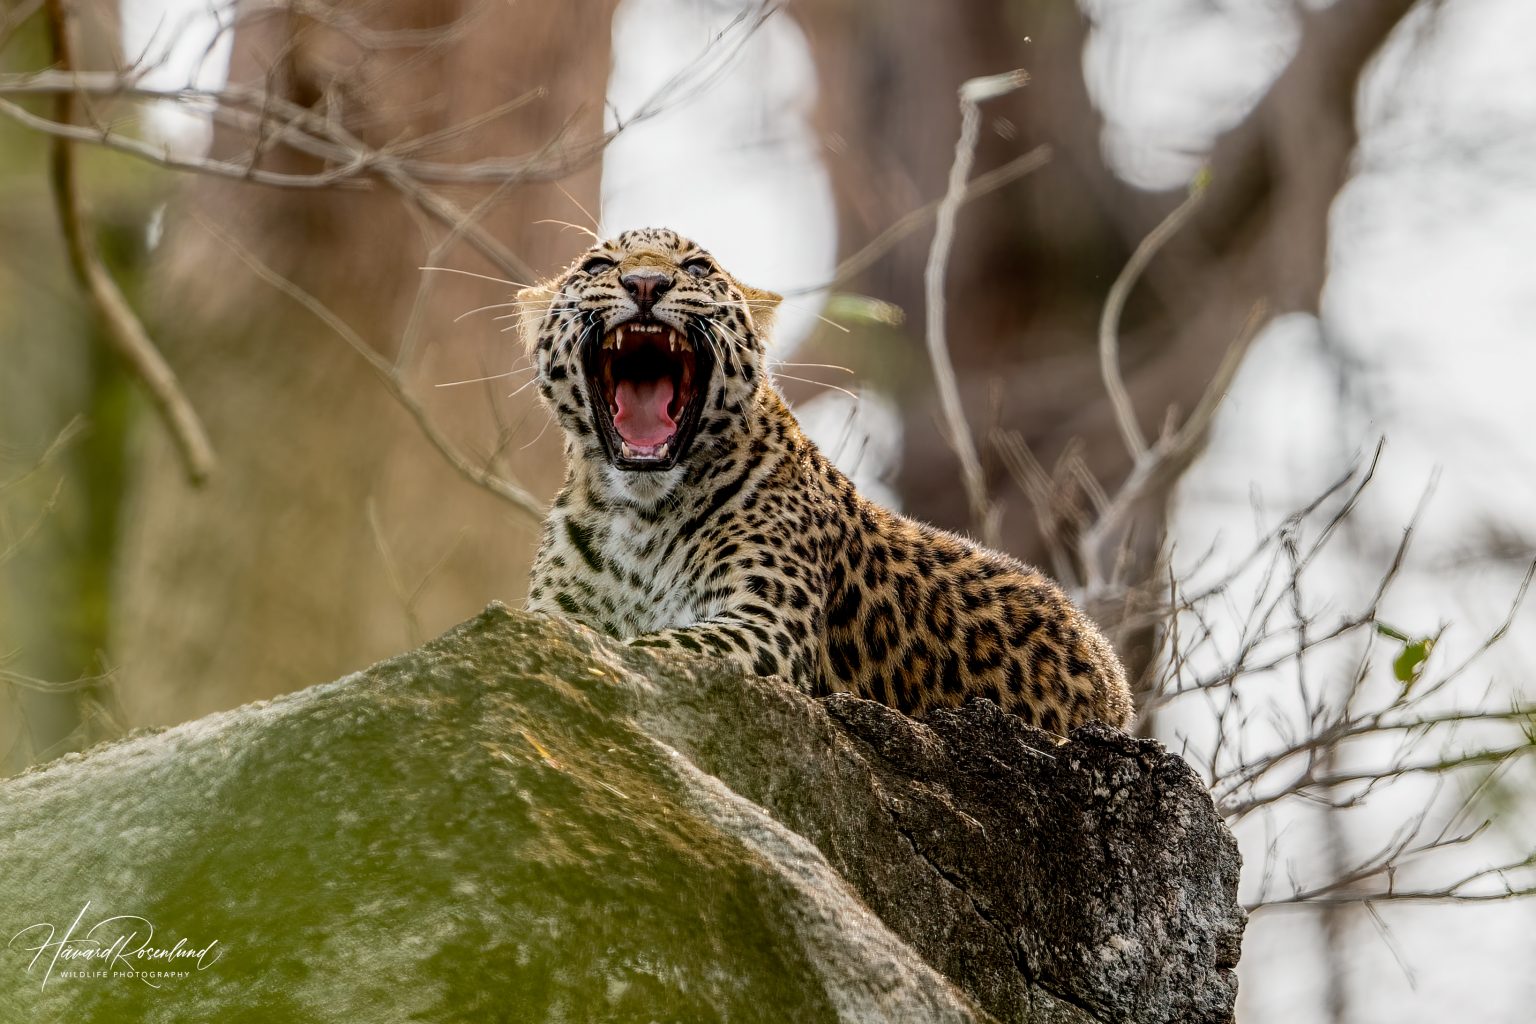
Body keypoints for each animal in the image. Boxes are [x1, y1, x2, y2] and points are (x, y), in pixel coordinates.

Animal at [518, 226, 1132, 734]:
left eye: (696, 267)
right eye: (598, 264)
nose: (645, 282)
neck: (640, 516)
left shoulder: (767, 622)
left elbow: (659, 643)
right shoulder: (556, 611)